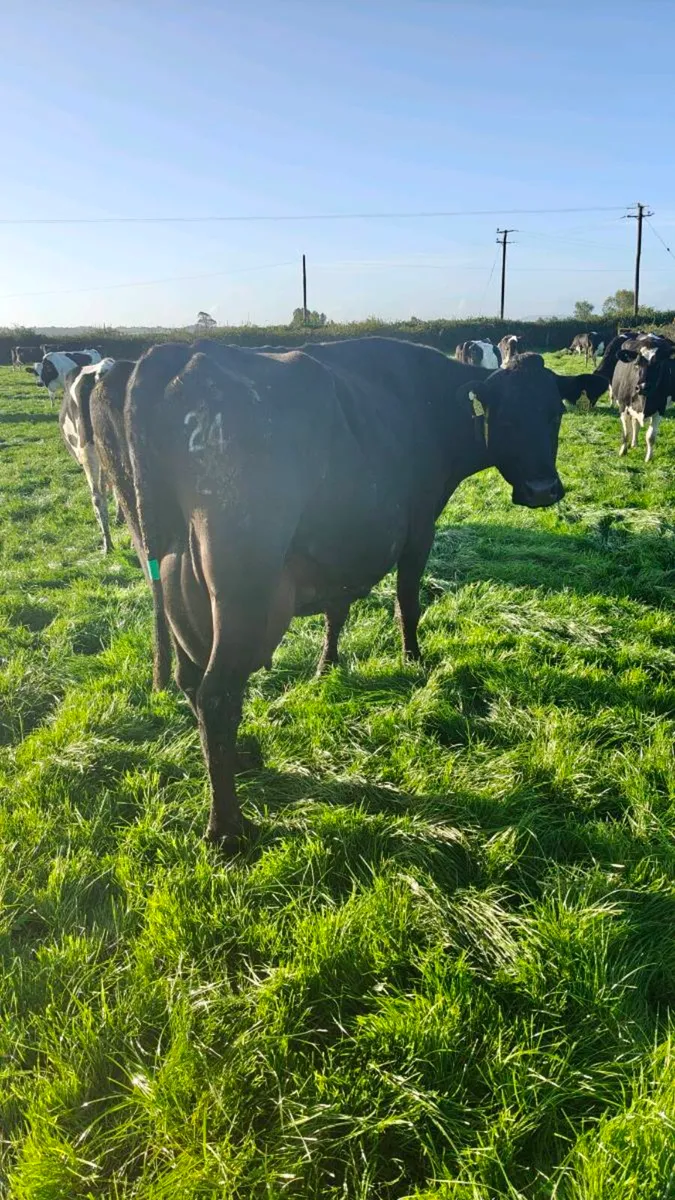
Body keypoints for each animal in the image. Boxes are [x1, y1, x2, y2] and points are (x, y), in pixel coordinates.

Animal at [119, 337, 604, 850]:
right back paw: (227, 829)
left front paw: (327, 667)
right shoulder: (418, 529)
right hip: (240, 582)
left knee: (191, 682)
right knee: (217, 694)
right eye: (504, 416)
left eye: (554, 411)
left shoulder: (340, 550)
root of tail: (180, 352)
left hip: (175, 580)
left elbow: (337, 611)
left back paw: (240, 759)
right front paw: (413, 659)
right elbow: (407, 603)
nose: (542, 490)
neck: (427, 405)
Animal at [594, 333, 674, 461]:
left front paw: (648, 458)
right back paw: (633, 443)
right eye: (636, 364)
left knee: (636, 423)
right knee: (634, 423)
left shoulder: (660, 408)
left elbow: (651, 436)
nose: (643, 387)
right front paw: (623, 451)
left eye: (658, 364)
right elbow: (626, 432)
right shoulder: (623, 405)